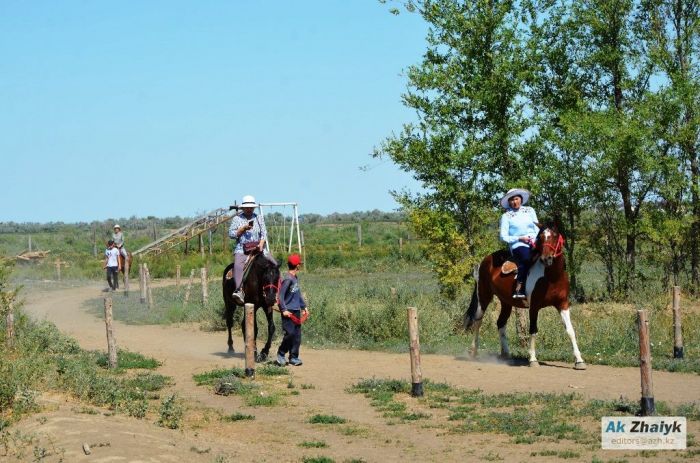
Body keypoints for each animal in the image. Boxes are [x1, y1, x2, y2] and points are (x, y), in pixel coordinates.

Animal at [464, 225, 584, 370]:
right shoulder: (534, 306)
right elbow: (533, 330)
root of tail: (484, 260)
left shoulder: (563, 304)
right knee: (478, 321)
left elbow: (570, 330)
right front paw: (532, 359)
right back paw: (473, 351)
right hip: (484, 296)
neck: (552, 277)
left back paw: (506, 354)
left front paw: (579, 361)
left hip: (506, 302)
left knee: (500, 323)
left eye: (555, 236)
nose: (546, 258)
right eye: (541, 237)